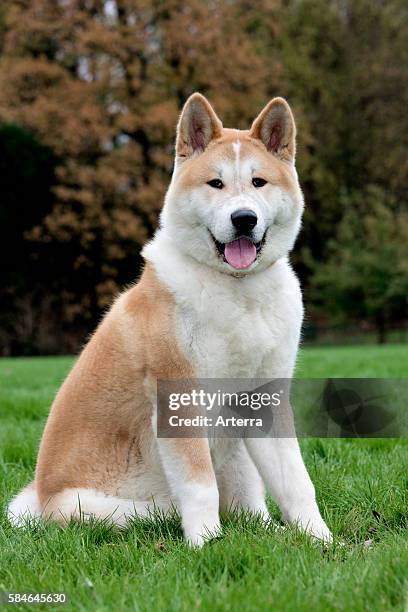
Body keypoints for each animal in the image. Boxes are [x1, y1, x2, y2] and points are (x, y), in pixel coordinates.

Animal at [7, 94, 332, 544]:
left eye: (258, 183)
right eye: (215, 184)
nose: (243, 218)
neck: (237, 290)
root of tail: (39, 501)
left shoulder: (265, 399)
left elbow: (297, 483)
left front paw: (320, 541)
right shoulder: (180, 401)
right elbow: (200, 486)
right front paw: (207, 544)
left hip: (238, 453)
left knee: (248, 505)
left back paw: (267, 531)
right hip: (109, 509)